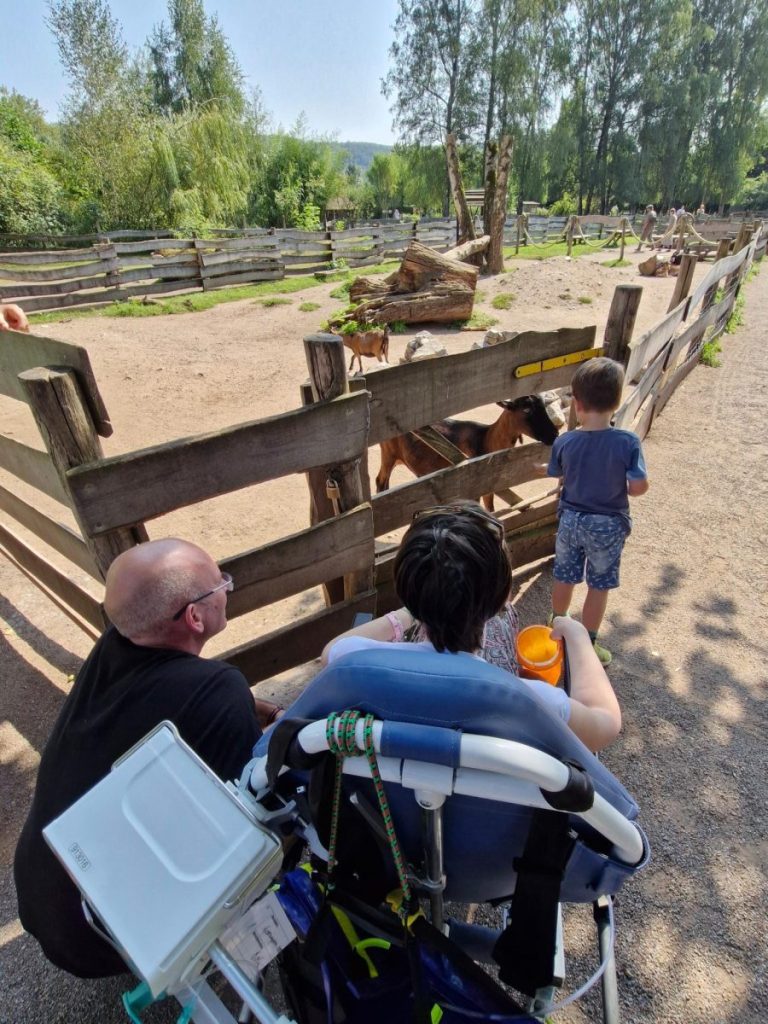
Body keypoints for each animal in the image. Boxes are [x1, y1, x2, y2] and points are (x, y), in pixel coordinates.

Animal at [376, 397, 561, 512]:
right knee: (381, 482)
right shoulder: (473, 485)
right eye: (527, 410)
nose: (553, 434)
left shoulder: (490, 485)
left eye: (544, 407)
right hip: (388, 453)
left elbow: (490, 508)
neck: (486, 438)